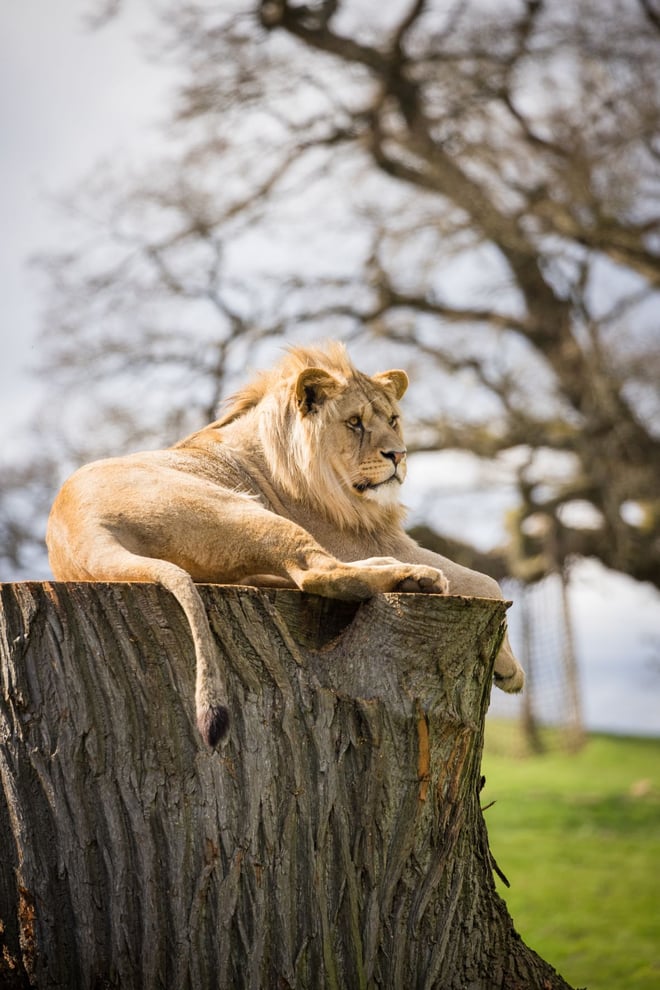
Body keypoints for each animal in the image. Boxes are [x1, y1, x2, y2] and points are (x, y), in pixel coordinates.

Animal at [47, 342, 524, 746]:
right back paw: (416, 578)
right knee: (320, 573)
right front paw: (510, 670)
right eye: (354, 423)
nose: (399, 456)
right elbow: (487, 581)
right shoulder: (360, 538)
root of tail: (78, 533)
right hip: (238, 509)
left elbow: (485, 581)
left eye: (393, 420)